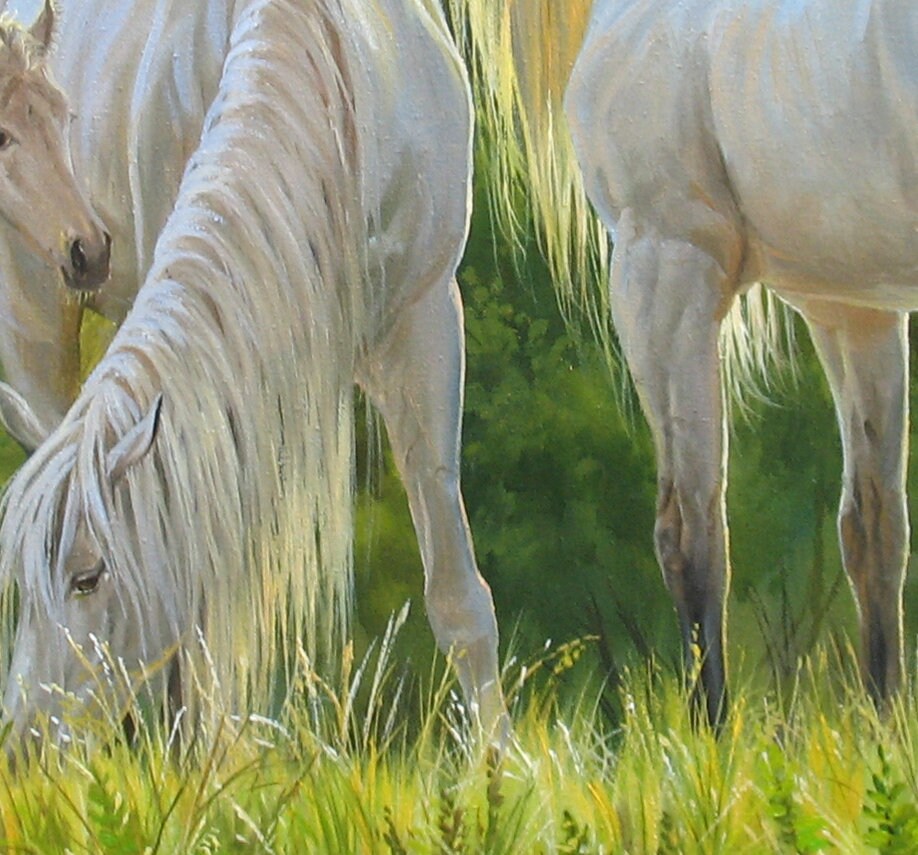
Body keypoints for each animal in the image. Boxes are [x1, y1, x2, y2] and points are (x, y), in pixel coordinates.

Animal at [452, 0, 918, 726]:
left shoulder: (666, 262)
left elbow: (690, 534)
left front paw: (709, 736)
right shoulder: (851, 305)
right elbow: (873, 528)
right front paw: (882, 727)